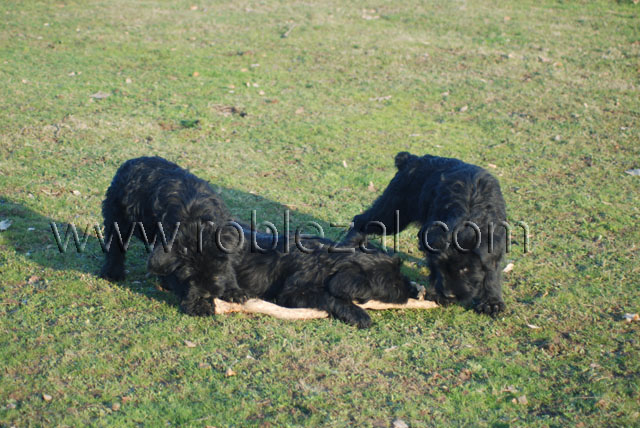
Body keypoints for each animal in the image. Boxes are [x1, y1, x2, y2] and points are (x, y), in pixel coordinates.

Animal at [100, 156, 248, 316]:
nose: (207, 295)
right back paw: (113, 272)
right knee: (114, 245)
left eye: (216, 270)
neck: (194, 221)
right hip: (117, 217)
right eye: (189, 277)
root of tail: (133, 160)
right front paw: (199, 306)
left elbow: (229, 266)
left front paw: (233, 290)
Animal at [344, 152, 507, 316]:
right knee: (360, 220)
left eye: (465, 269)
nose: (449, 295)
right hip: (393, 213)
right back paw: (350, 246)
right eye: (442, 267)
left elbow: (492, 271)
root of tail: (411, 158)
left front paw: (492, 302)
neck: (469, 211)